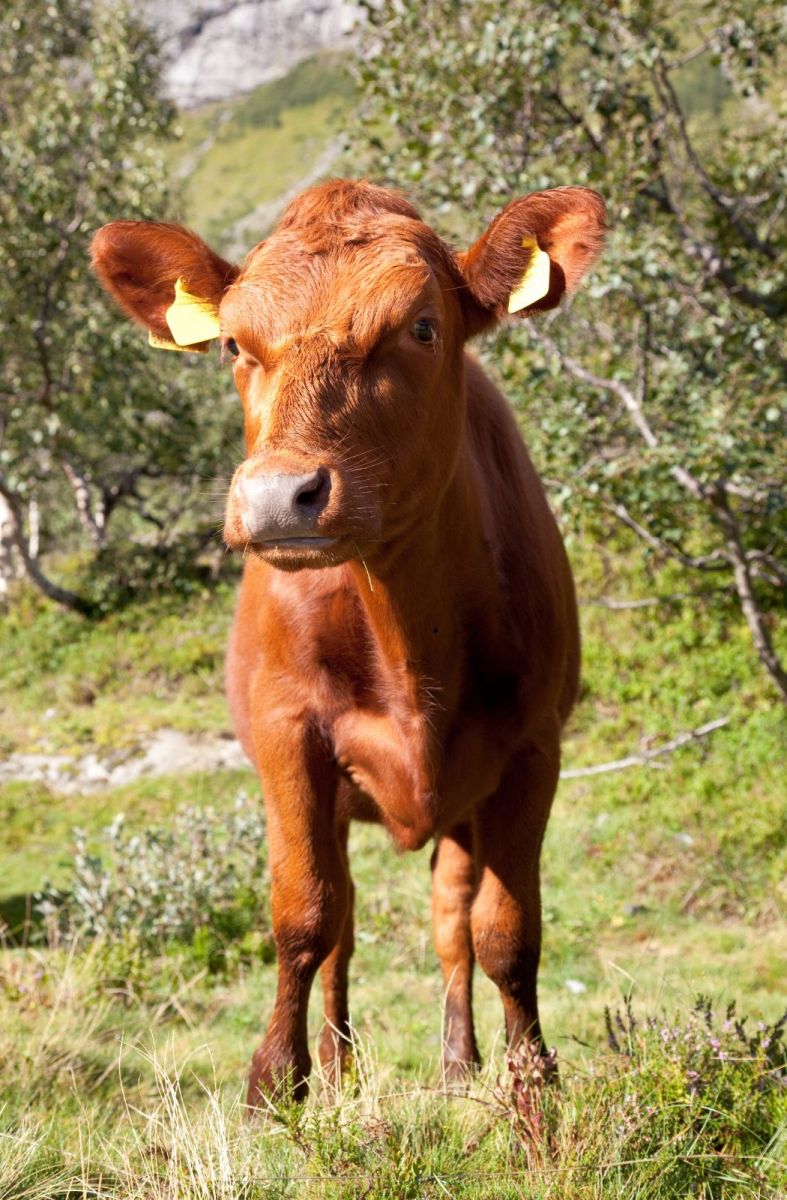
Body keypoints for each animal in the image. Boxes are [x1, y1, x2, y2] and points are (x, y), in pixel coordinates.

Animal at [91, 179, 605, 1107]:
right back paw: (335, 1067)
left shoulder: (531, 747)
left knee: (448, 919)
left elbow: (505, 929)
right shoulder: (288, 734)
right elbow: (305, 912)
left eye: (422, 327)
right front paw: (275, 1084)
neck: (409, 632)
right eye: (233, 342)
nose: (277, 496)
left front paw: (530, 1085)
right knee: (345, 925)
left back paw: (456, 1064)